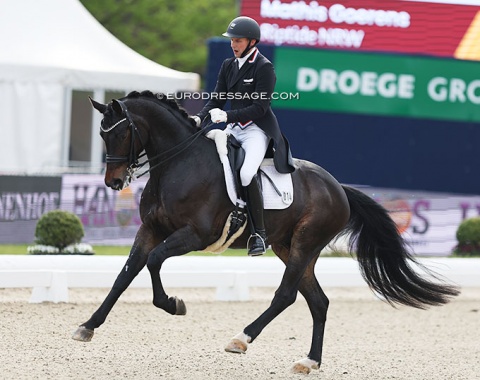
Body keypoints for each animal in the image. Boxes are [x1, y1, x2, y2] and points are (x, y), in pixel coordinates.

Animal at [72, 90, 462, 374]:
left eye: (122, 132)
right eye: (102, 134)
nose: (113, 182)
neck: (178, 163)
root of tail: (338, 187)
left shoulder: (194, 235)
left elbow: (153, 262)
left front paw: (173, 304)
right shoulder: (150, 230)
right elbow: (124, 276)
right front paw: (88, 326)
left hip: (305, 244)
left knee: (285, 295)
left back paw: (241, 339)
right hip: (290, 248)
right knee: (318, 301)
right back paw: (309, 361)